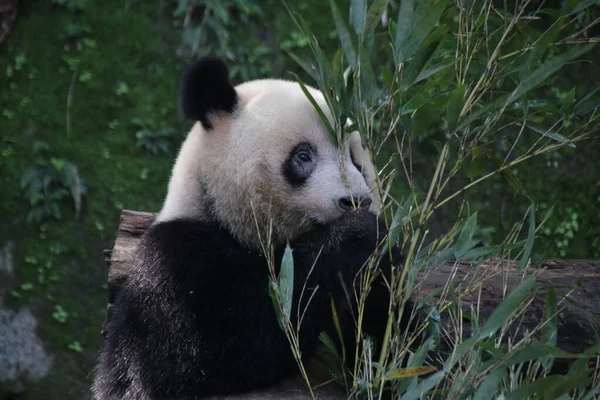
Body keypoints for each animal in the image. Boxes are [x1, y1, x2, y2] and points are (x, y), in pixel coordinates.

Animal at [91, 57, 408, 400]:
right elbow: (204, 343)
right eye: (303, 155)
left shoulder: (370, 297)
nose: (356, 201)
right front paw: (360, 233)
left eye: (355, 159)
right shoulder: (175, 257)